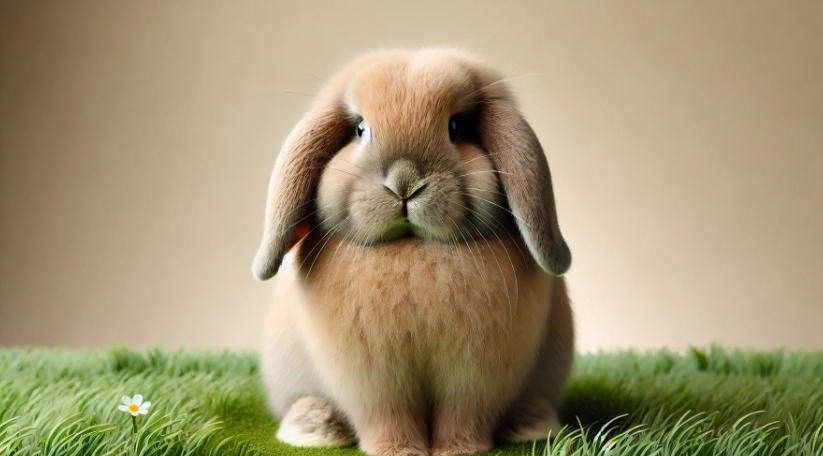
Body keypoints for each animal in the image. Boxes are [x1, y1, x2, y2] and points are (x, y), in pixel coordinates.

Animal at [253, 47, 575, 456]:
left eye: (455, 127)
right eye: (360, 129)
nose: (404, 183)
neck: (412, 250)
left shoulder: (474, 378)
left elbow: (464, 415)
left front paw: (460, 450)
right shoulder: (374, 382)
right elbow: (387, 416)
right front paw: (397, 450)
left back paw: (531, 424)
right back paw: (312, 428)